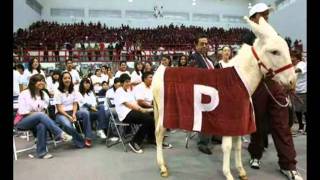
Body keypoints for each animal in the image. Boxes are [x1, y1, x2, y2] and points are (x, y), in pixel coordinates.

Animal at [151, 15, 296, 180]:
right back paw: (162, 166)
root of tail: (161, 70)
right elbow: (227, 146)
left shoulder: (240, 120)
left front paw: (241, 171)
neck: (240, 78)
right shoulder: (228, 120)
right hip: (165, 114)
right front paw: (228, 174)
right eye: (275, 52)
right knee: (159, 133)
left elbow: (237, 145)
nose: (292, 81)